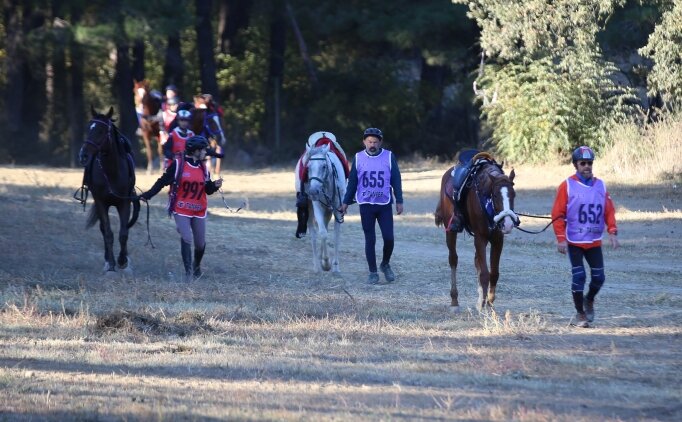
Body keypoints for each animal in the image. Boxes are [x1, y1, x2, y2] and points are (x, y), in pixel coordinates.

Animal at [294, 143, 346, 272]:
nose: (313, 191)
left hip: (327, 210)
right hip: (309, 209)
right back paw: (317, 266)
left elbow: (335, 235)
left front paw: (335, 267)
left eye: (324, 166)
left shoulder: (338, 209)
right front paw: (326, 263)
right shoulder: (317, 205)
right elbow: (322, 233)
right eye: (308, 167)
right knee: (313, 233)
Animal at [432, 153, 516, 312]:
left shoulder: (497, 240)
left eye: (513, 195)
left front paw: (489, 303)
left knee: (477, 261)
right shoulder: (480, 238)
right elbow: (484, 273)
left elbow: (493, 273)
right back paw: (454, 299)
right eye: (496, 195)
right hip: (450, 231)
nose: (508, 223)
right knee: (453, 259)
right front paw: (482, 305)